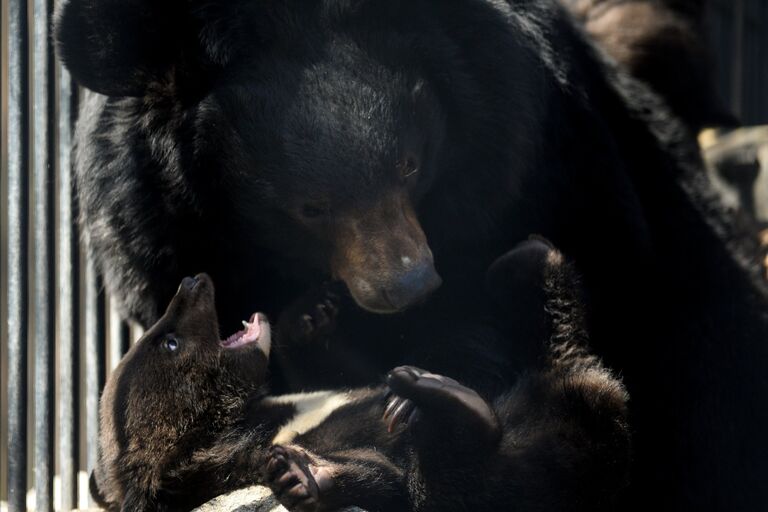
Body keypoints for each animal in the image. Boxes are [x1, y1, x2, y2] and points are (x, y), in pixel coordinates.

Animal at [90, 242, 632, 510]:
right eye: (168, 341)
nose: (191, 279)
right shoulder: (225, 466)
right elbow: (384, 481)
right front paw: (302, 476)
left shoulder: (311, 395)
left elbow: (344, 371)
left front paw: (310, 313)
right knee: (463, 476)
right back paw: (437, 402)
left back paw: (527, 258)